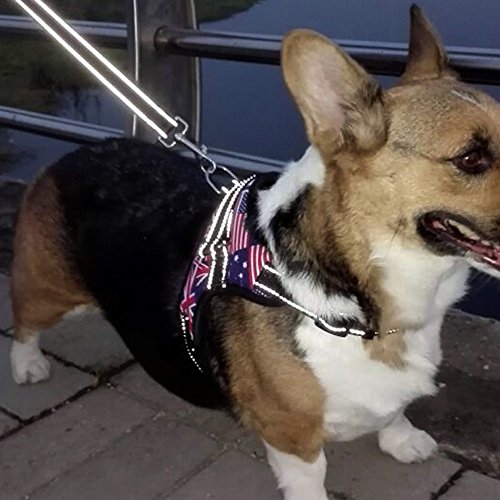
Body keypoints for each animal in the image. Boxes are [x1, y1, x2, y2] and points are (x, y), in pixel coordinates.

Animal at [9, 5, 500, 499]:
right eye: (471, 158)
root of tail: (79, 153)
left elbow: (394, 410)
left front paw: (402, 439)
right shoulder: (292, 438)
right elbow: (311, 481)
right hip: (50, 291)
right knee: (24, 318)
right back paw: (27, 365)